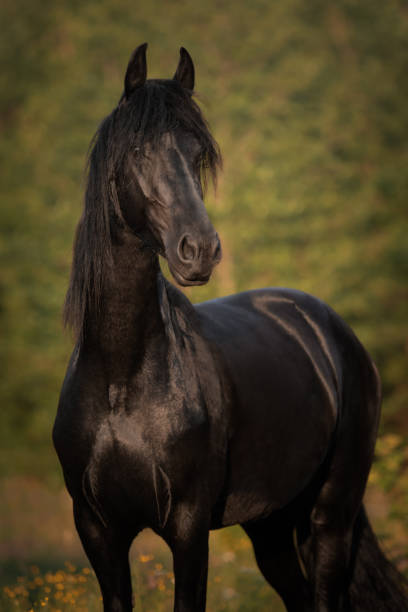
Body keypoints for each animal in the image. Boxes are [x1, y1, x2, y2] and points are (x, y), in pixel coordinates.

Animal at [54, 44, 408, 612]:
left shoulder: (188, 528)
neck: (120, 382)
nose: (199, 249)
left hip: (330, 516)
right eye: (138, 151)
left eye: (198, 153)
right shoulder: (97, 531)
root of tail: (332, 330)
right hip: (271, 525)